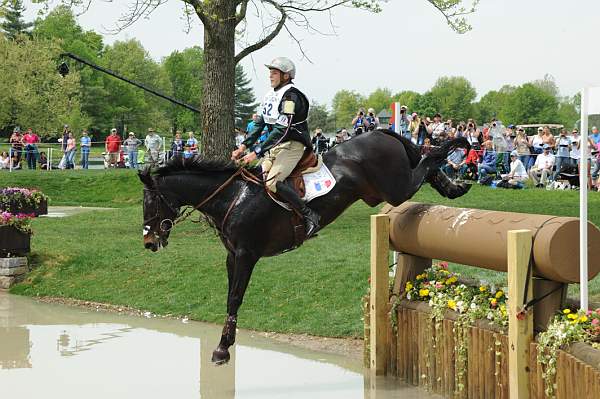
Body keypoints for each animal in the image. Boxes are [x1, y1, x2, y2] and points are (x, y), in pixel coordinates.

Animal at [138, 129, 472, 366]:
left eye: (150, 203)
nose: (149, 242)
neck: (232, 196)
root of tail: (380, 132)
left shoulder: (246, 255)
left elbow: (235, 297)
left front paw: (222, 349)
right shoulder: (232, 256)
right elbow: (230, 298)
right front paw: (225, 344)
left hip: (396, 188)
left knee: (428, 161)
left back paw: (455, 151)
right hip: (381, 192)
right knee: (427, 166)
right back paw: (454, 186)